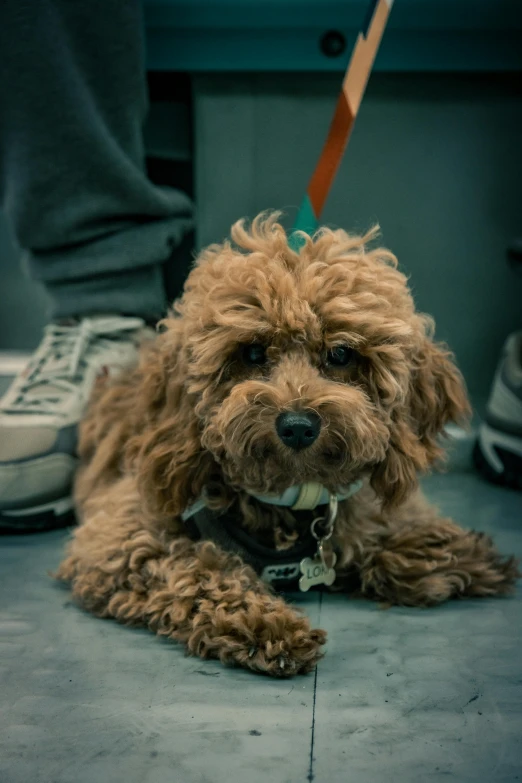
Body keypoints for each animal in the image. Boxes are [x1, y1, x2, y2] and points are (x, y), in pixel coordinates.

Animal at [57, 211, 516, 676]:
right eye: (252, 353)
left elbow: (381, 538)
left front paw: (454, 552)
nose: (297, 426)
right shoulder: (121, 535)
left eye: (341, 354)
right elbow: (194, 566)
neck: (290, 502)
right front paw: (264, 624)